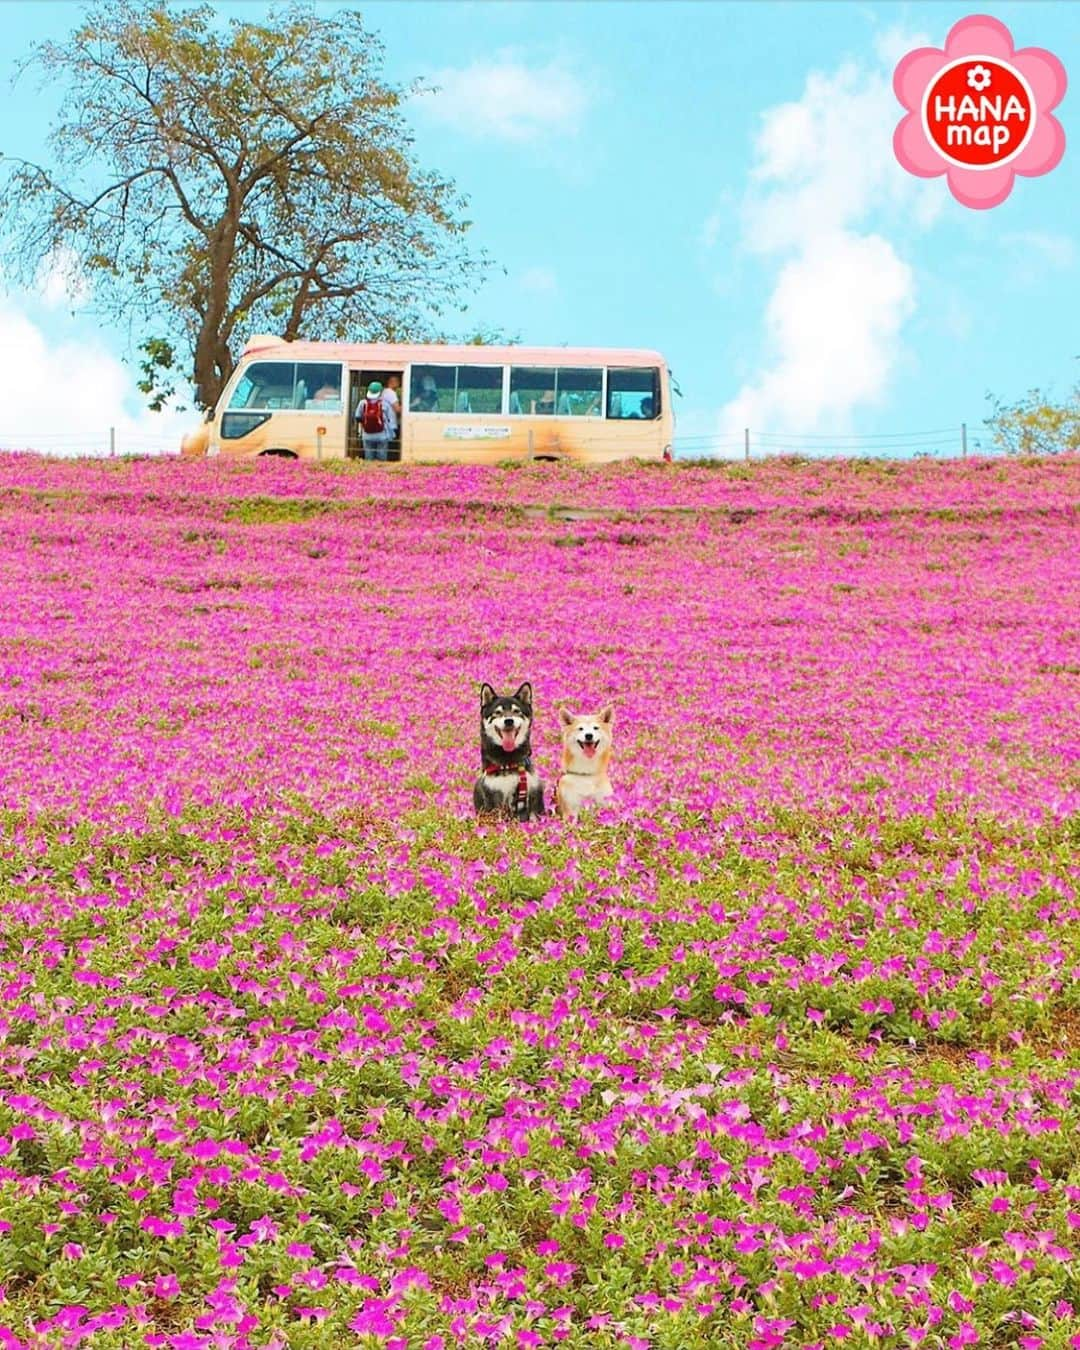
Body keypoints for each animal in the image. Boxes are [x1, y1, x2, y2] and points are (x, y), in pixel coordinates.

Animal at [472, 680, 545, 815]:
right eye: (497, 713)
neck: (508, 759)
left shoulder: (531, 793)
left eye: (516, 711)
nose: (509, 721)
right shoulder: (493, 796)